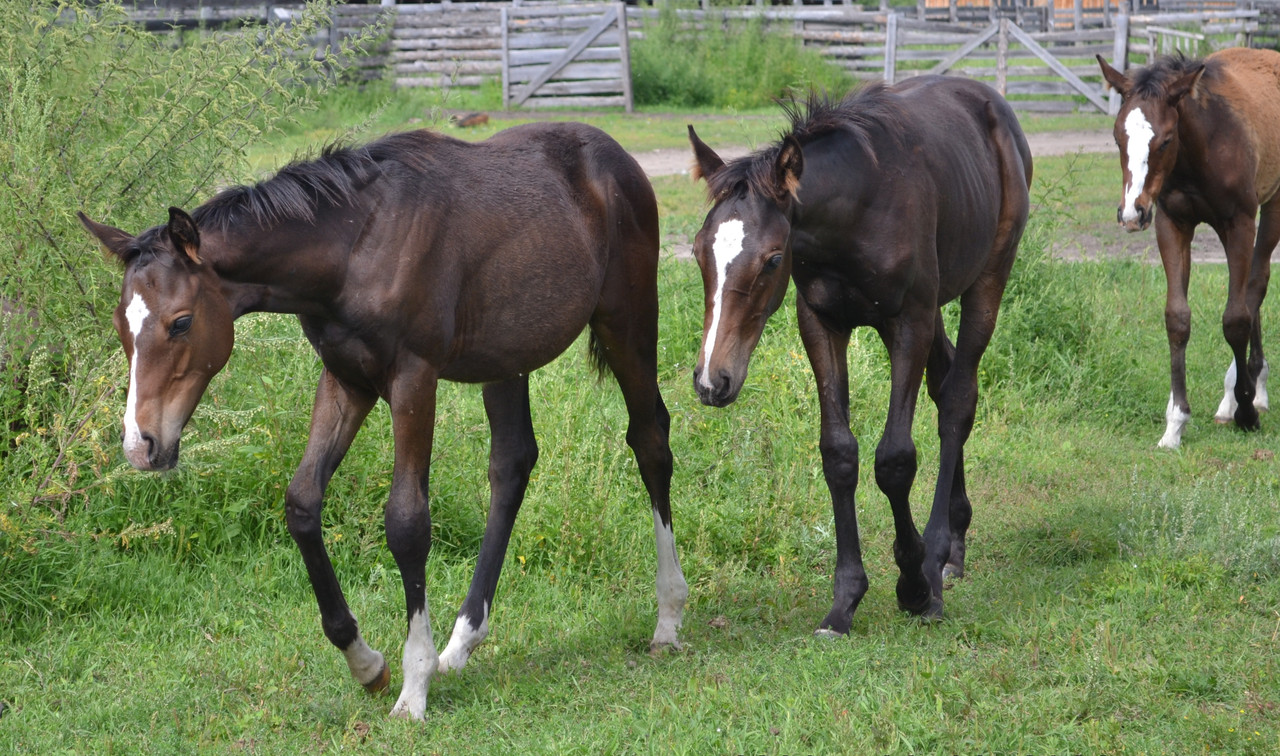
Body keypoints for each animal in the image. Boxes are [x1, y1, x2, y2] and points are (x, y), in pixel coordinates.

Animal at [80, 124, 686, 721]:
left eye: (181, 322)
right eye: (121, 324)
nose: (140, 445)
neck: (353, 248)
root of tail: (617, 158)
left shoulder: (413, 380)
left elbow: (407, 522)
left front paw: (413, 688)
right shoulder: (346, 378)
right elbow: (302, 503)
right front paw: (367, 664)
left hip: (628, 320)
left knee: (650, 440)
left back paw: (668, 618)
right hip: (506, 356)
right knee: (512, 464)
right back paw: (460, 644)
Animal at [691, 76, 1029, 631]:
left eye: (773, 260)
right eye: (699, 251)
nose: (711, 381)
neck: (858, 210)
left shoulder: (908, 323)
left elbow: (894, 458)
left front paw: (914, 585)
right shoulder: (821, 323)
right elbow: (839, 454)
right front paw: (845, 600)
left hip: (986, 278)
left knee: (958, 400)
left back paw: (938, 556)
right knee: (944, 385)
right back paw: (955, 545)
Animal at [1095, 47, 1274, 447]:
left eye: (1164, 140)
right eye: (1116, 139)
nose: (1131, 213)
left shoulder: (1240, 222)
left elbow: (1235, 318)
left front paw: (1246, 412)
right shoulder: (1171, 223)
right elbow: (1177, 318)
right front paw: (1175, 423)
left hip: (1272, 208)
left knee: (1255, 285)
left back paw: (1248, 390)